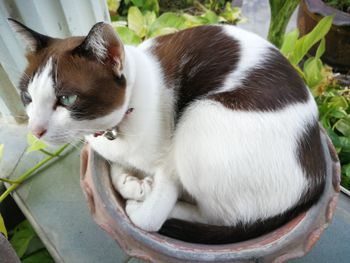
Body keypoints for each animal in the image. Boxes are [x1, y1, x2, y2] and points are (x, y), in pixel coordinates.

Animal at [9, 18, 326, 245]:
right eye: (27, 97)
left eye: (67, 99)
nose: (35, 131)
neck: (117, 127)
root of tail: (317, 178)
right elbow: (114, 167)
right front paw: (129, 181)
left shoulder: (170, 162)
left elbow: (149, 217)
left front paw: (138, 197)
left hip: (201, 117)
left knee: (219, 218)